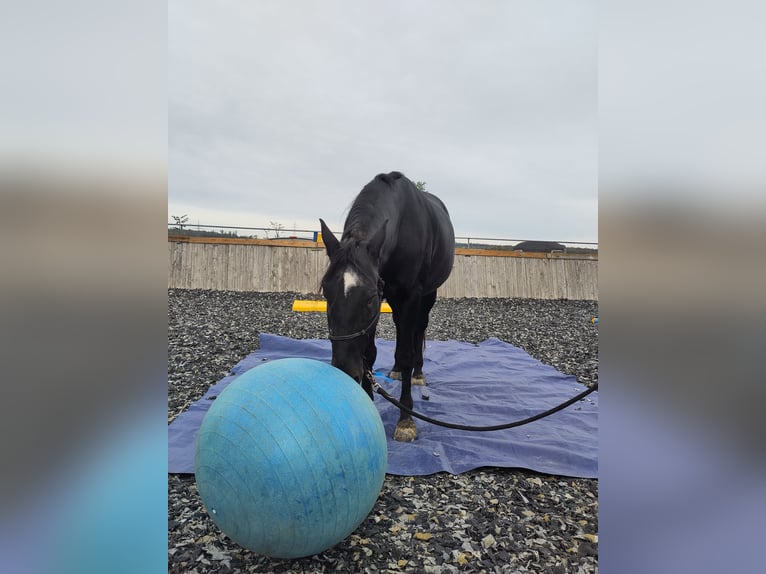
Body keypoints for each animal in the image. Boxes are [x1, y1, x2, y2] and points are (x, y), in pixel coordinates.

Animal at [320, 170, 456, 440]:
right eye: (326, 293)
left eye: (369, 298)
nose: (345, 372)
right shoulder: (383, 293)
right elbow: (369, 353)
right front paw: (368, 399)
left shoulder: (408, 295)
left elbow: (406, 351)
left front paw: (406, 420)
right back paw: (395, 370)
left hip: (428, 295)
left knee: (417, 330)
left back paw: (417, 373)